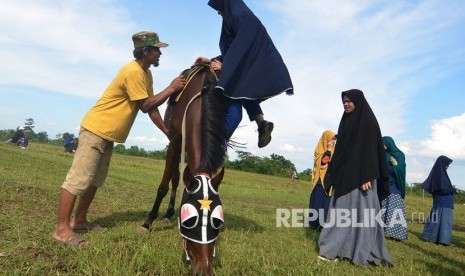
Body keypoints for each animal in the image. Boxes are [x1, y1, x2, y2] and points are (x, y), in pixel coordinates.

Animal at [141, 64, 228, 274]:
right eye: (189, 220)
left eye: (218, 222)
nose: (204, 270)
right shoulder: (174, 141)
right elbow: (164, 186)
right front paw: (148, 222)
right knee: (174, 177)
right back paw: (166, 214)